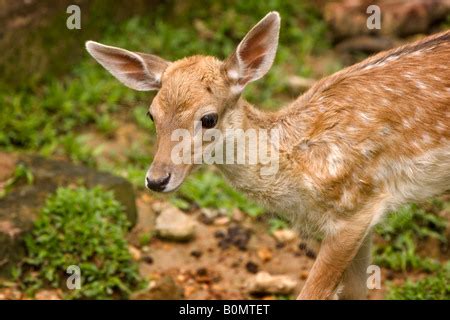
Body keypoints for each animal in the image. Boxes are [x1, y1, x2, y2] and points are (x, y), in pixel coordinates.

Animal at [85, 10, 450, 300]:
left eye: (208, 118)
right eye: (151, 115)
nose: (157, 179)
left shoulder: (354, 209)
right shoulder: (362, 216)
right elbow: (356, 292)